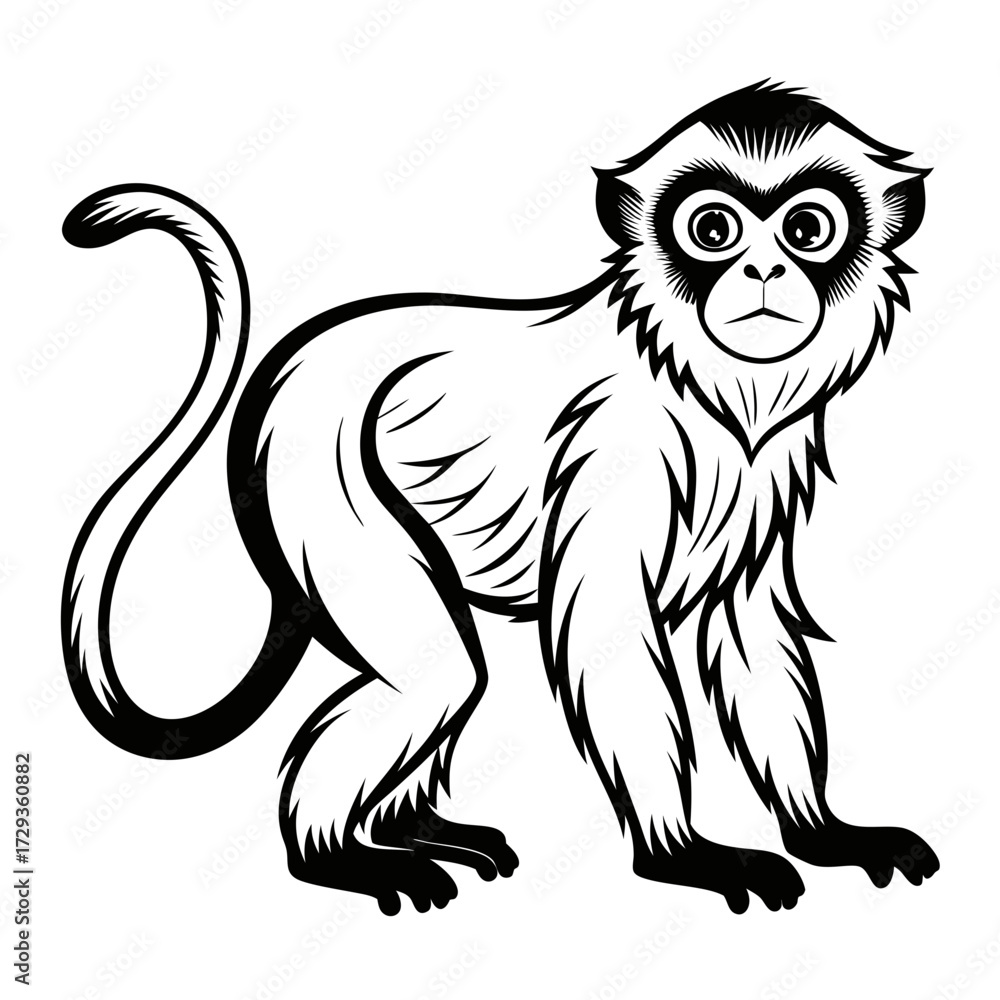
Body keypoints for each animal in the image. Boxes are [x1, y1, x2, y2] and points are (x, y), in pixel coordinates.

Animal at [62, 81, 939, 915]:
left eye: (807, 229)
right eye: (715, 230)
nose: (763, 271)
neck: (694, 374)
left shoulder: (769, 461)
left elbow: (746, 625)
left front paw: (822, 833)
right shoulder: (616, 447)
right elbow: (606, 633)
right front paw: (680, 853)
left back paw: (411, 826)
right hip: (318, 479)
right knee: (437, 673)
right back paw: (334, 855)